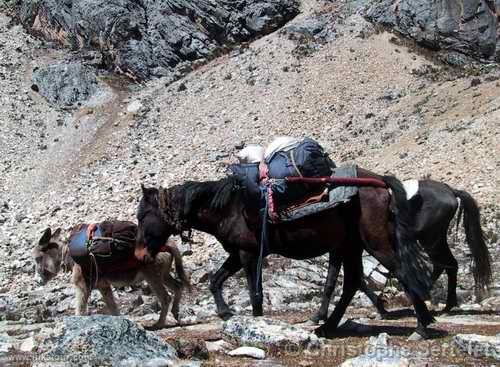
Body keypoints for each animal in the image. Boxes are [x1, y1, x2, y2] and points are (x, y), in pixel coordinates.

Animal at [136, 171, 434, 338]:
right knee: (351, 282)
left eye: (142, 215)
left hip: (374, 243)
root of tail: (380, 183)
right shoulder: (238, 254)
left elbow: (254, 292)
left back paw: (422, 327)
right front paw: (225, 312)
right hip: (351, 246)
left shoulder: (248, 255)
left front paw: (255, 322)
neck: (228, 207)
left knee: (400, 272)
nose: (139, 254)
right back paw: (327, 327)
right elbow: (216, 280)